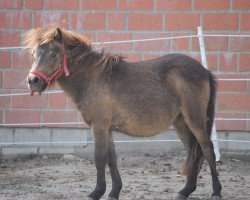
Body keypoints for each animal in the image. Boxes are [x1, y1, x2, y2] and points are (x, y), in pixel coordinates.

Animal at [24, 27, 222, 200]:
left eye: (53, 53)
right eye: (34, 54)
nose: (32, 81)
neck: (93, 78)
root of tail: (204, 71)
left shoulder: (99, 126)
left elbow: (99, 158)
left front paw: (96, 192)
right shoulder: (107, 129)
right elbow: (111, 159)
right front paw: (114, 192)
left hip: (195, 120)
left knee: (207, 149)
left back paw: (216, 192)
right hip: (181, 123)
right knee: (193, 151)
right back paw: (185, 191)